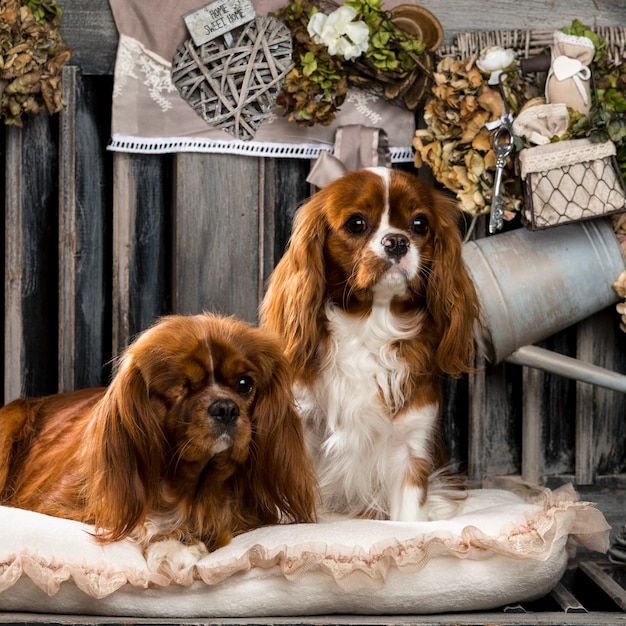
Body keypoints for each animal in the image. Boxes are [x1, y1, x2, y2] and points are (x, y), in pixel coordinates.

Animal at [0, 310, 314, 564]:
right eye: (182, 386)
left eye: (244, 384)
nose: (225, 408)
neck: (190, 488)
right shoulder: (58, 506)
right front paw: (171, 543)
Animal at [258, 166, 478, 520]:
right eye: (357, 224)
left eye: (420, 224)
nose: (397, 241)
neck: (370, 326)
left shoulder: (410, 445)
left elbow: (410, 518)